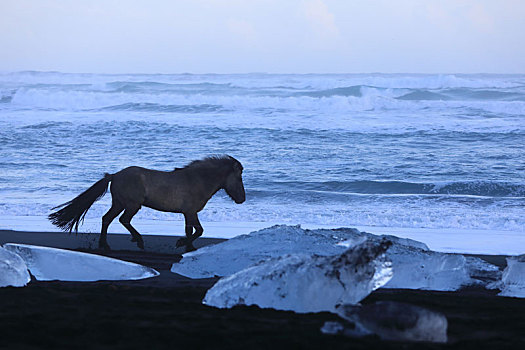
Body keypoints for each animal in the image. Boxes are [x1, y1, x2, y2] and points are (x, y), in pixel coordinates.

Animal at [48, 156, 245, 252]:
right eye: (239, 177)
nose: (242, 199)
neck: (197, 180)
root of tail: (115, 175)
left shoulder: (188, 213)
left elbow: (191, 230)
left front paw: (189, 247)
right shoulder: (191, 212)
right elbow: (199, 231)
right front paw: (181, 243)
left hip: (118, 203)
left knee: (107, 219)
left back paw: (105, 245)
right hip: (132, 205)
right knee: (123, 220)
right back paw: (138, 240)